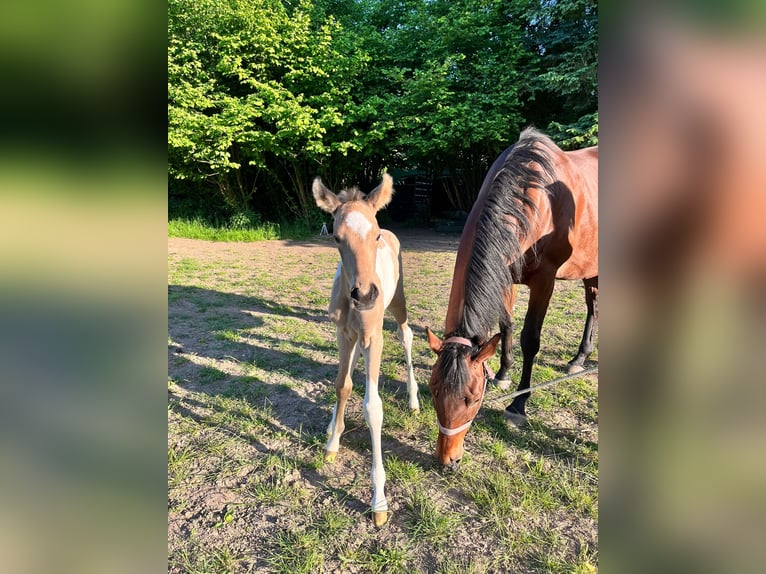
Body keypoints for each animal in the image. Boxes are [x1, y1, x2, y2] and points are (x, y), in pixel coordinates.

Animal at [312, 174, 420, 528]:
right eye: (336, 238)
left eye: (375, 234)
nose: (366, 295)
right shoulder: (344, 333)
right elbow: (342, 385)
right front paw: (333, 441)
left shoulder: (374, 336)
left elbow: (373, 407)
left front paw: (379, 501)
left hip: (398, 302)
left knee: (406, 335)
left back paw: (414, 400)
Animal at [426, 128, 600, 470]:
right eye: (433, 390)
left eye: (473, 398)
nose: (447, 459)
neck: (534, 197)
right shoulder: (505, 274)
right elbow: (505, 325)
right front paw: (504, 374)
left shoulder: (544, 280)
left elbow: (530, 339)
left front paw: (518, 404)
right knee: (592, 307)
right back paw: (579, 359)